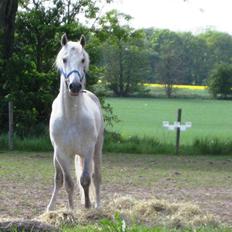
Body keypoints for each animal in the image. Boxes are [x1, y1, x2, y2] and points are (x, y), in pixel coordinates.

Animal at [46, 34, 104, 210]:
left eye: (83, 60)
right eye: (64, 59)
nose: (75, 86)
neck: (71, 118)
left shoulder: (88, 150)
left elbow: (85, 179)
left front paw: (88, 206)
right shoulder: (61, 154)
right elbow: (68, 183)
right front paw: (71, 210)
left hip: (97, 149)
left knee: (96, 176)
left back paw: (97, 205)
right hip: (57, 157)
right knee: (58, 179)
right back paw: (50, 207)